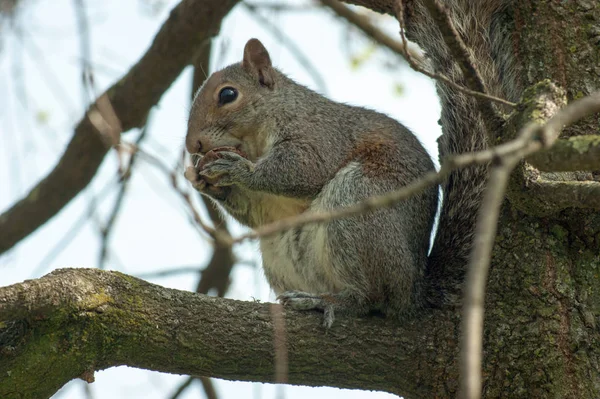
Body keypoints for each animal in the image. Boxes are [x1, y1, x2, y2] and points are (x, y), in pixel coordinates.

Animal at [185, 38, 438, 328]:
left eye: (228, 94)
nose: (192, 145)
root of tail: (413, 295)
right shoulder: (271, 208)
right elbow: (260, 212)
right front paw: (206, 182)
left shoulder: (320, 135)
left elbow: (306, 169)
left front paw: (237, 169)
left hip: (361, 203)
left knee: (371, 299)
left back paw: (328, 301)